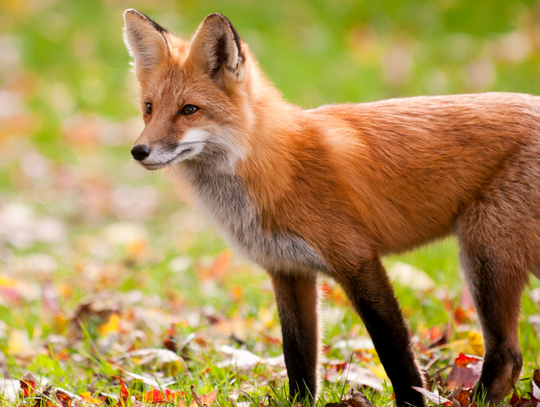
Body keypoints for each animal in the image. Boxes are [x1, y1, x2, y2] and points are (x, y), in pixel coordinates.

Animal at [122, 9, 540, 407]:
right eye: (149, 108)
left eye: (189, 109)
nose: (138, 151)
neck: (276, 168)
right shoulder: (288, 271)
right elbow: (299, 357)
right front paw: (298, 403)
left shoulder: (358, 259)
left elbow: (395, 353)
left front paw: (413, 402)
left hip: (485, 256)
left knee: (507, 355)